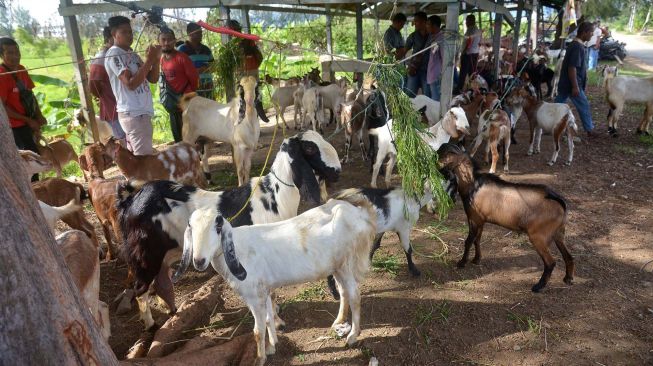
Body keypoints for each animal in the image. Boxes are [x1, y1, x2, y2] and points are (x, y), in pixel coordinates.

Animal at [117, 131, 342, 328]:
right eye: (310, 148)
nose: (337, 171)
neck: (274, 196)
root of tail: (131, 200)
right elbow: (268, 291)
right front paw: (277, 322)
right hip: (144, 253)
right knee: (140, 288)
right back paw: (150, 325)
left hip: (166, 252)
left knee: (160, 280)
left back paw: (170, 310)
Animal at [436, 142, 572, 292]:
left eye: (440, 154)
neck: (474, 184)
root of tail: (557, 200)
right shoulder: (481, 221)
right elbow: (477, 240)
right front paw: (476, 259)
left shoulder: (474, 219)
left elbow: (469, 241)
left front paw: (462, 262)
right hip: (558, 233)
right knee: (568, 256)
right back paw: (568, 279)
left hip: (538, 236)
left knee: (550, 262)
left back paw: (538, 286)